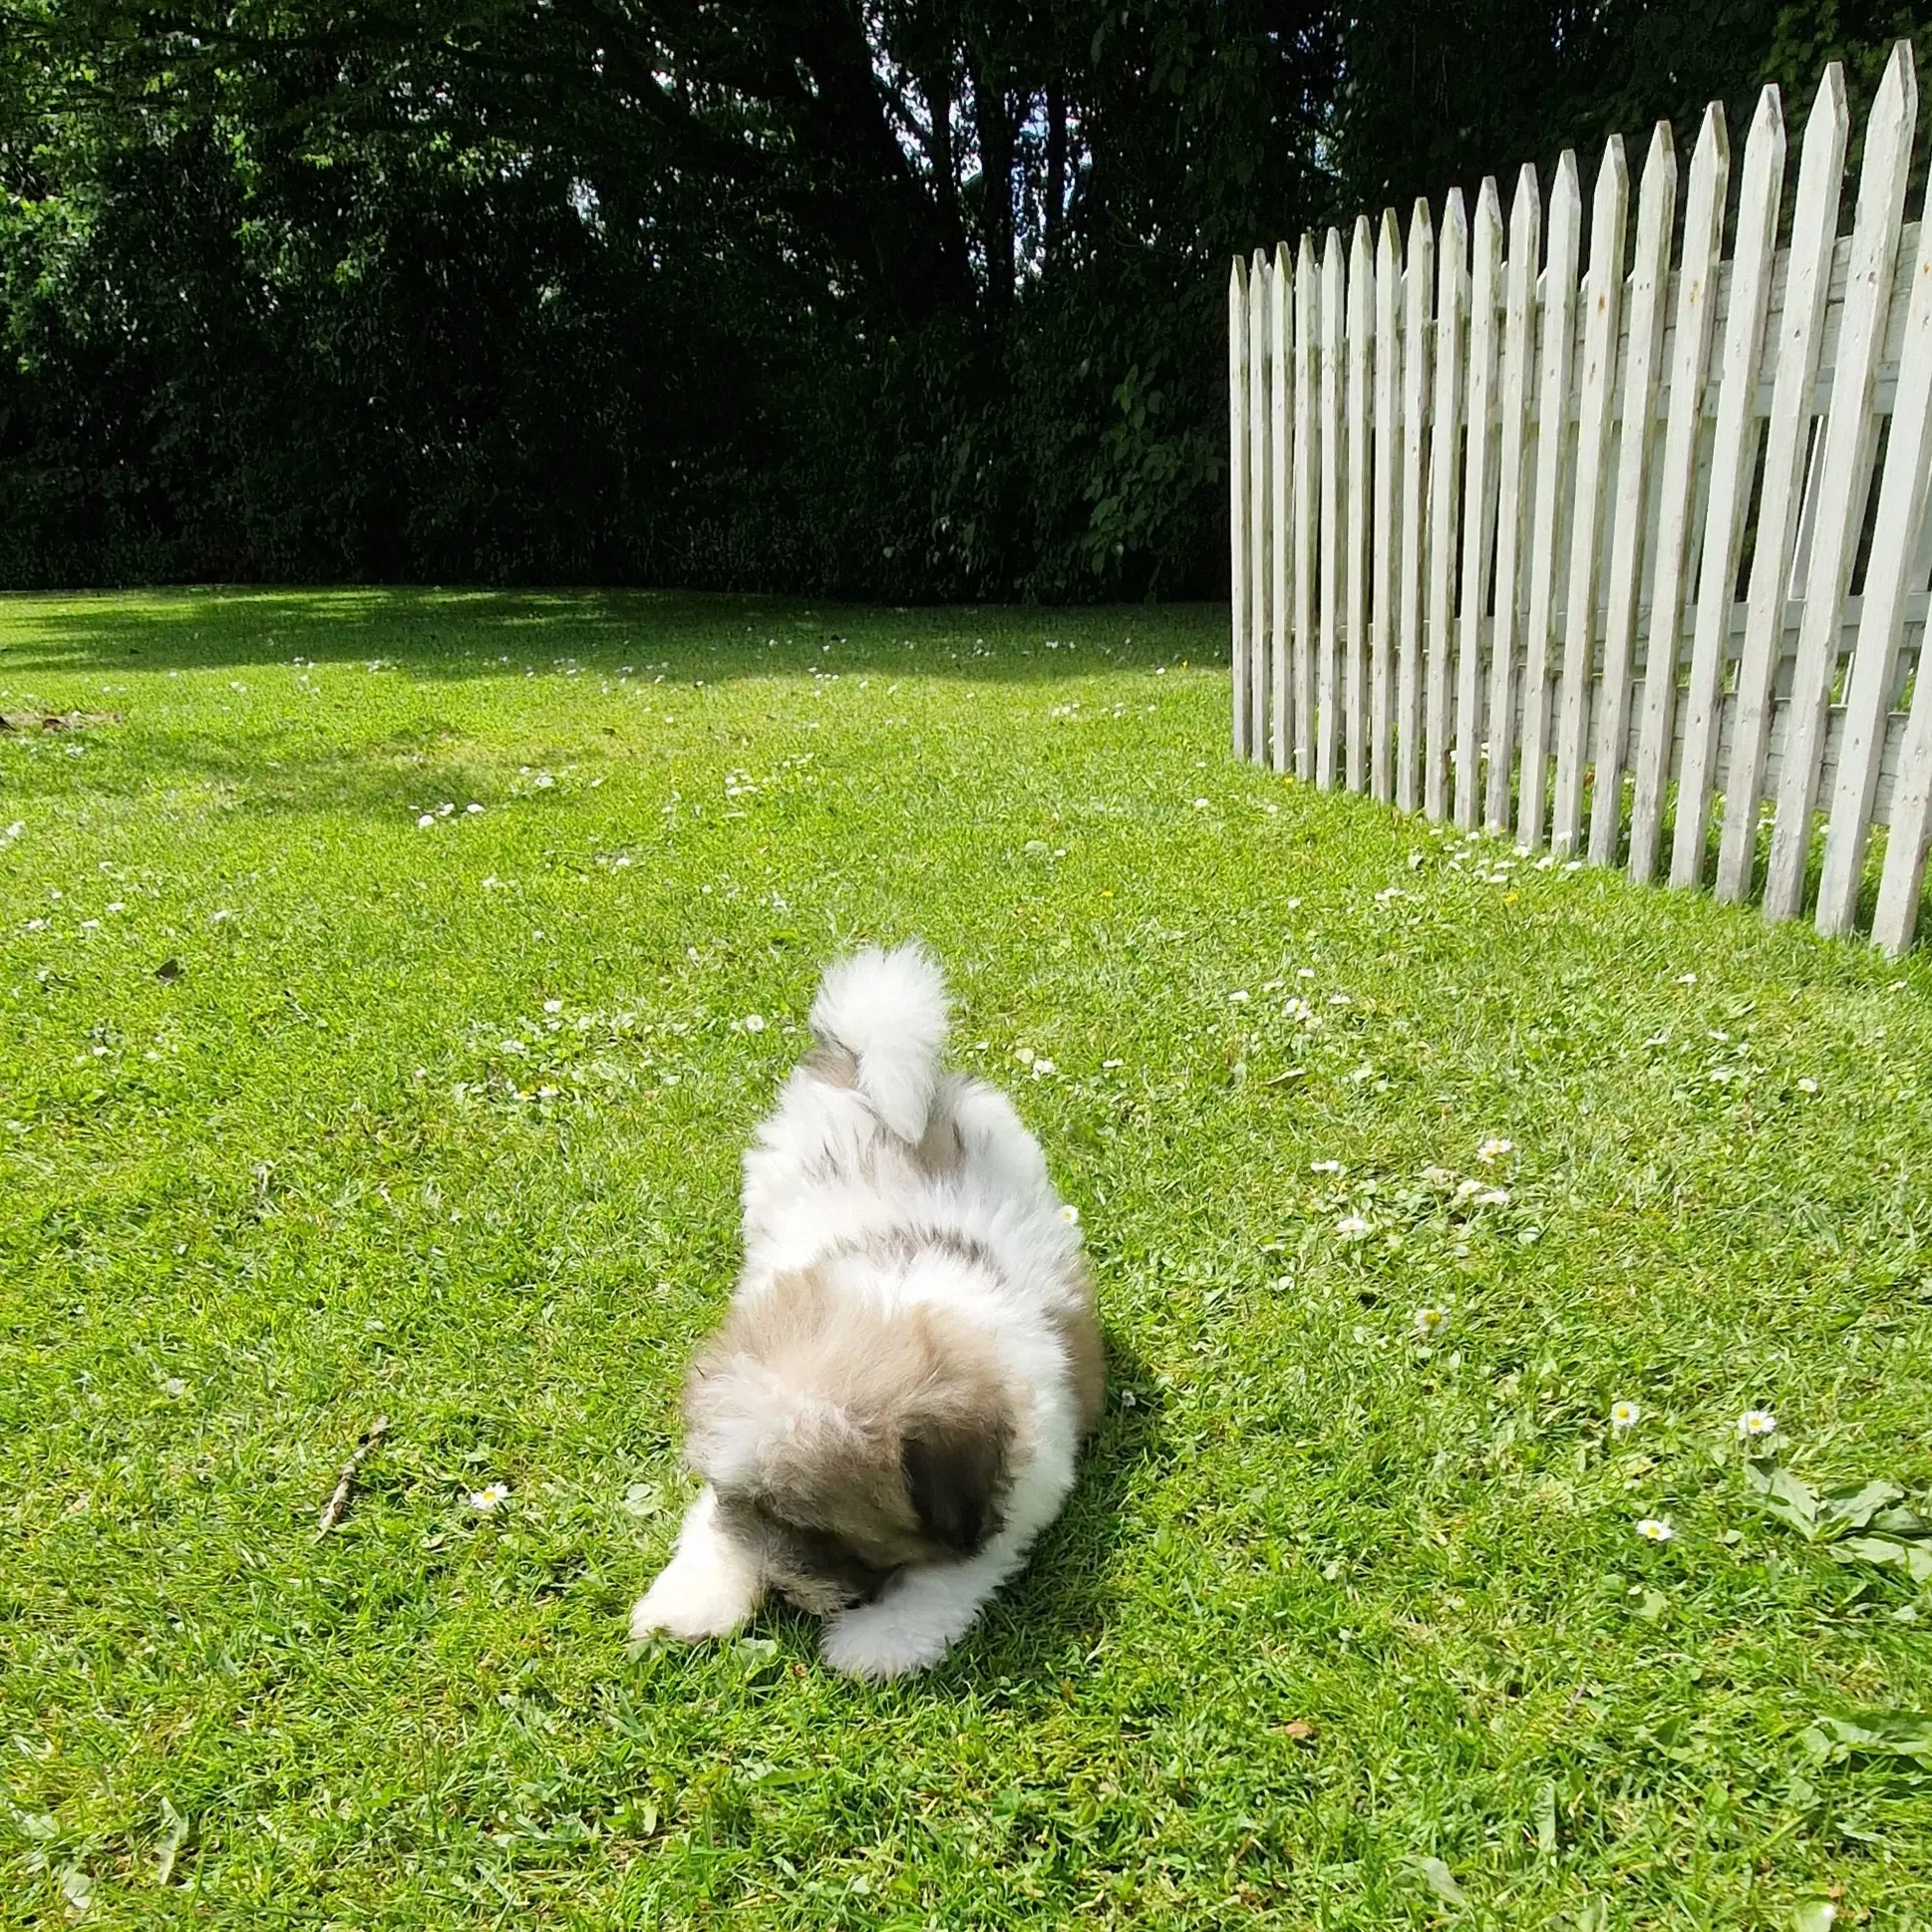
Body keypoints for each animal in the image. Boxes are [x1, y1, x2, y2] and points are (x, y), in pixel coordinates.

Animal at [625, 942, 1097, 1684]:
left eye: (826, 1533)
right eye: (749, 1506)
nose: (784, 1592)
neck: (893, 1307)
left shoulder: (1017, 1492)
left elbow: (949, 1572)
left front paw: (877, 1640)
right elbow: (711, 1525)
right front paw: (695, 1599)